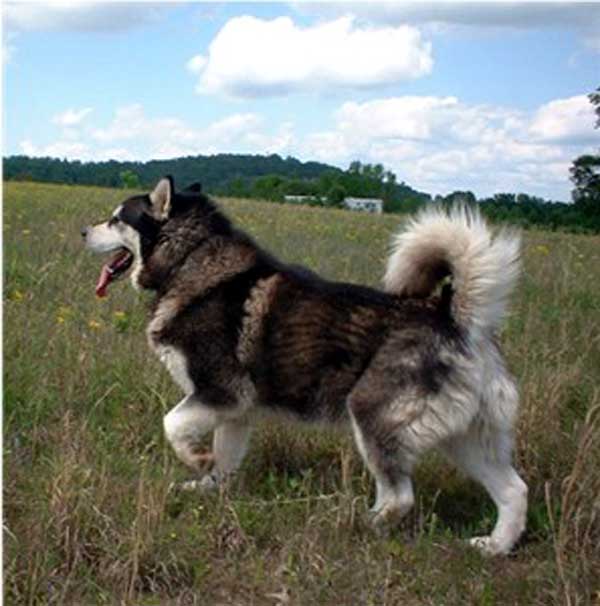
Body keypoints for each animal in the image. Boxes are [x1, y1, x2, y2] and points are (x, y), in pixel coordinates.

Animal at [82, 176, 528, 556]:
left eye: (116, 219)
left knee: (400, 497)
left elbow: (172, 424)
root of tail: (456, 319)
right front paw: (209, 486)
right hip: (465, 438)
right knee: (515, 491)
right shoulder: (235, 410)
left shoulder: (220, 391)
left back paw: (357, 524)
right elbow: (225, 459)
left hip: (372, 416)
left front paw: (196, 459)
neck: (189, 261)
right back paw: (493, 546)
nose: (83, 232)